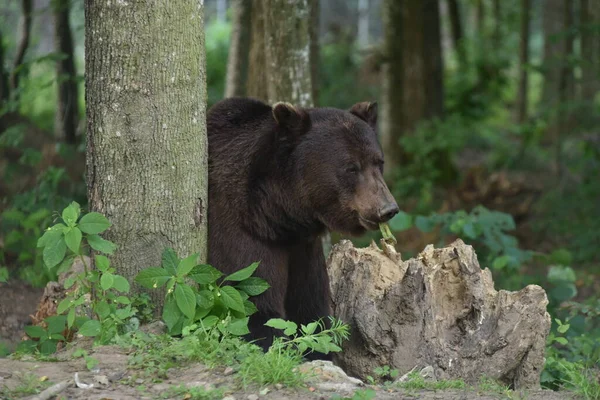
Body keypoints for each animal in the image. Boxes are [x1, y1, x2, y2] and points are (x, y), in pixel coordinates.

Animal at [206, 97, 398, 356]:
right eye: (351, 167)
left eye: (379, 162)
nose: (388, 208)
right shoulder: (238, 234)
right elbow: (253, 307)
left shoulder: (303, 249)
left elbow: (311, 312)